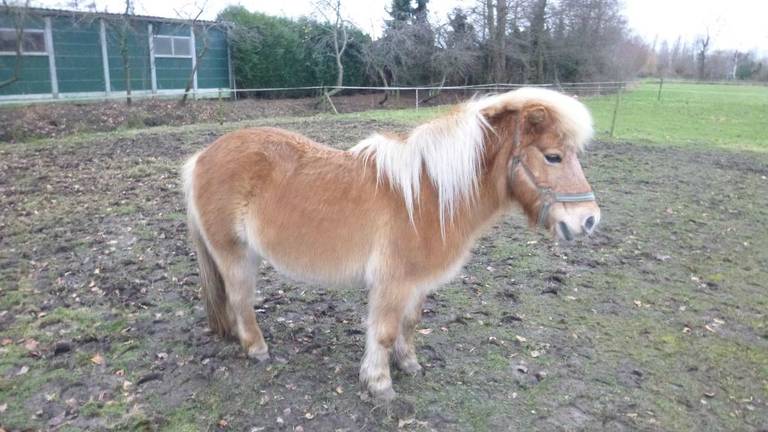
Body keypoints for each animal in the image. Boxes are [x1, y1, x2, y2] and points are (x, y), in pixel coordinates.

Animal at [180, 88, 600, 402]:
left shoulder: (416, 283)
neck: (430, 195)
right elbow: (382, 332)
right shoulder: (392, 283)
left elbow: (408, 324)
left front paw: (408, 363)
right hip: (234, 254)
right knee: (240, 300)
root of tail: (200, 158)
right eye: (553, 156)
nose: (589, 219)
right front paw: (379, 383)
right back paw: (257, 349)